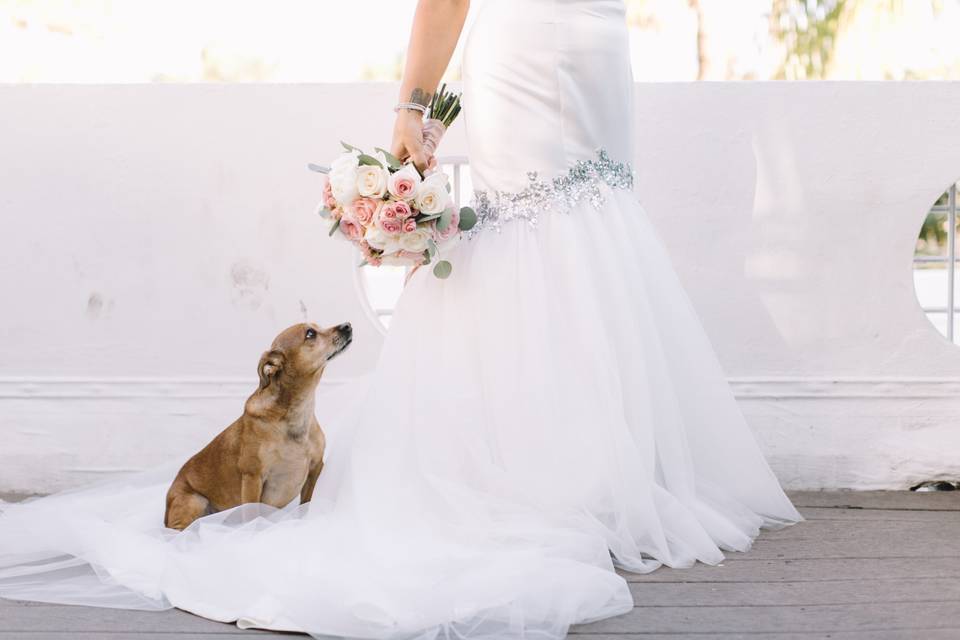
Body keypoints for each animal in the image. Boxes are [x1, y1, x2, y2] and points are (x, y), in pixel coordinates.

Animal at [165, 320, 352, 528]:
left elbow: (305, 505)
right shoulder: (252, 478)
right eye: (310, 334)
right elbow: (252, 516)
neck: (296, 413)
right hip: (194, 501)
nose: (347, 325)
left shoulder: (315, 468)